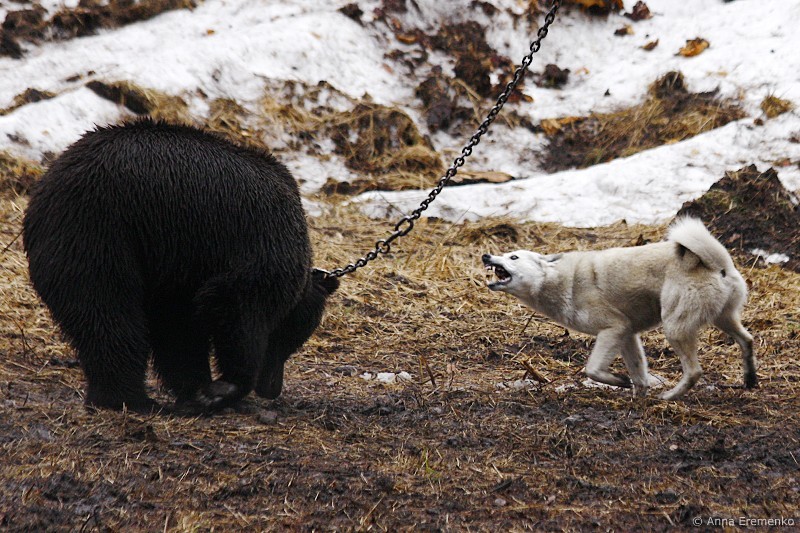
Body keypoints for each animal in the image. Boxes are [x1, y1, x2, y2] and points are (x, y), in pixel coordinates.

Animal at [23, 118, 338, 414]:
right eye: (286, 341)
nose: (271, 388)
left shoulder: (179, 267)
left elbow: (178, 330)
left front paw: (197, 390)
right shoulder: (257, 242)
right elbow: (236, 301)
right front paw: (222, 389)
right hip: (101, 235)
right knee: (108, 311)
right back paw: (131, 399)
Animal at [482, 217, 756, 400]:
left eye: (513, 257)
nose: (486, 256)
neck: (564, 281)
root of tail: (717, 264)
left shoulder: (614, 329)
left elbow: (592, 369)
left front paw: (620, 382)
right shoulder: (628, 334)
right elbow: (639, 374)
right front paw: (637, 397)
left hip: (675, 329)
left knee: (695, 371)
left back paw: (668, 397)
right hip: (723, 320)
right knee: (748, 340)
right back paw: (750, 379)